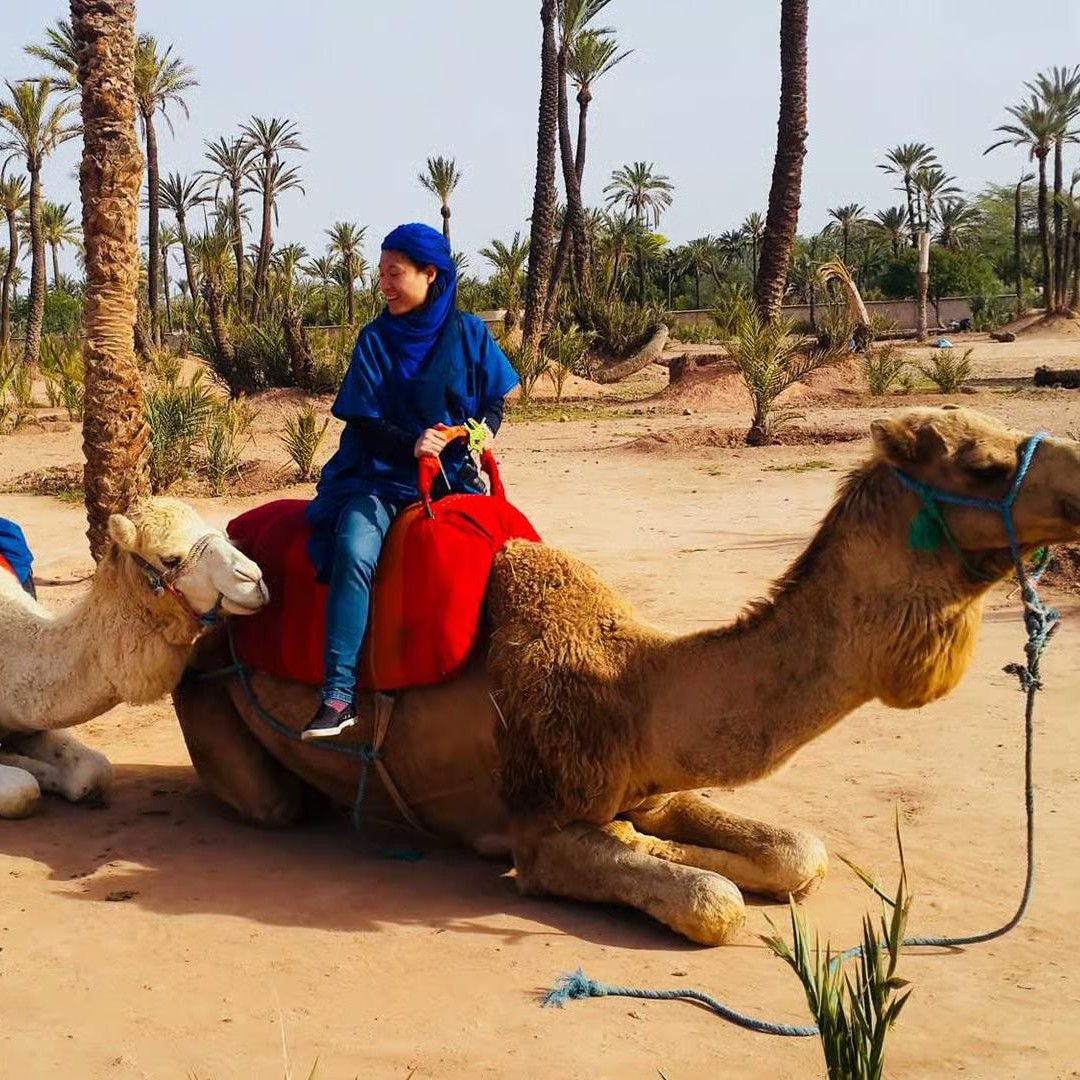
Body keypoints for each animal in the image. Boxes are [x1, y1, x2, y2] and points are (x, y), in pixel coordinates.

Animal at [0, 498, 268, 819]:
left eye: (220, 533)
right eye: (170, 558)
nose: (253, 578)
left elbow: (95, 771)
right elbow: (21, 789)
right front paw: (15, 761)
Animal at [175, 407, 1080, 945]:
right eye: (983, 465)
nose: (1079, 488)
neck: (632, 687)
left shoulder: (653, 782)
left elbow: (798, 852)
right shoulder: (545, 828)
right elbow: (711, 902)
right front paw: (670, 866)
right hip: (210, 705)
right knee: (277, 802)